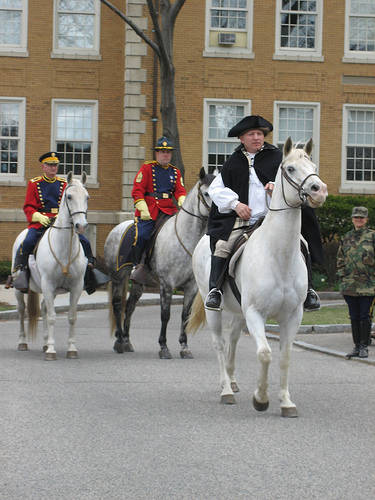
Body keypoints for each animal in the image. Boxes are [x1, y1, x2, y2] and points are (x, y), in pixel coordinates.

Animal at [11, 172, 89, 360]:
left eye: (87, 197)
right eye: (69, 196)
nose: (81, 226)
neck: (65, 248)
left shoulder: (76, 286)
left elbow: (71, 317)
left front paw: (71, 349)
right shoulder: (47, 284)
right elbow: (53, 317)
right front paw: (52, 351)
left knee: (44, 309)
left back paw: (46, 343)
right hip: (20, 289)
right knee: (22, 310)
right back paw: (23, 342)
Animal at [103, 168, 214, 360]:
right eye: (207, 193)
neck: (185, 237)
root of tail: (116, 228)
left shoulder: (191, 286)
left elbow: (185, 315)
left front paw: (184, 346)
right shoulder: (166, 284)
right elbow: (165, 315)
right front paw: (163, 347)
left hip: (138, 283)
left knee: (130, 307)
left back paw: (127, 340)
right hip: (118, 277)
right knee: (117, 305)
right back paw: (119, 341)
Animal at [189, 139, 328, 416]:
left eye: (313, 167)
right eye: (290, 168)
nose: (319, 191)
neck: (278, 256)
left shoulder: (293, 315)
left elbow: (285, 357)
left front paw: (286, 402)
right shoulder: (255, 313)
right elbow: (264, 353)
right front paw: (261, 398)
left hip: (237, 311)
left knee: (232, 339)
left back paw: (232, 380)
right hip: (215, 310)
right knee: (219, 344)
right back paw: (226, 390)